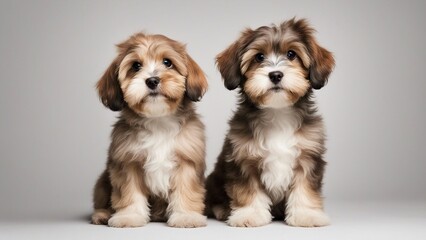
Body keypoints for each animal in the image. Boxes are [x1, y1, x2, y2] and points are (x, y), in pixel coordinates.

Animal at [91, 32, 208, 228]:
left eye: (167, 62)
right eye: (136, 66)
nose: (152, 80)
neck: (158, 120)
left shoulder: (186, 160)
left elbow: (185, 190)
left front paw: (186, 216)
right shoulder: (128, 162)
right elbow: (129, 192)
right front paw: (129, 216)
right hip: (102, 183)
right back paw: (102, 214)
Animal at [205, 18, 334, 227]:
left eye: (291, 54)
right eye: (259, 57)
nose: (275, 75)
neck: (277, 112)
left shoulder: (307, 157)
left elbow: (305, 189)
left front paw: (306, 214)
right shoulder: (245, 160)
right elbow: (248, 190)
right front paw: (249, 214)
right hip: (214, 180)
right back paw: (223, 210)